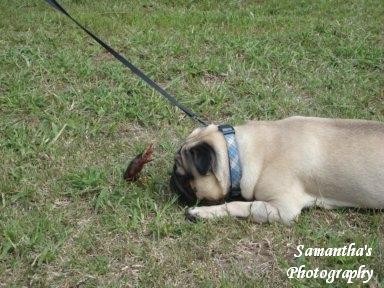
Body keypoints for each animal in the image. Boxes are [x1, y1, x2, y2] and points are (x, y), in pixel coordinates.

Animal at [171, 116, 384, 224]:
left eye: (184, 176)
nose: (171, 178)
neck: (239, 153)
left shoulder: (283, 209)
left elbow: (239, 205)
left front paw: (201, 212)